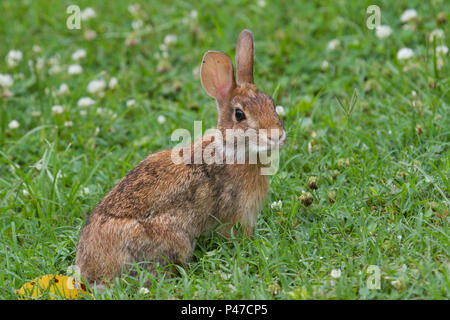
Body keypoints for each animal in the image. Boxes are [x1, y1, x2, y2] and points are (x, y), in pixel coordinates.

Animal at [73, 30, 284, 284]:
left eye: (271, 103)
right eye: (240, 114)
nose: (277, 136)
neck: (232, 151)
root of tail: (91, 269)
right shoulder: (235, 212)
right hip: (175, 239)